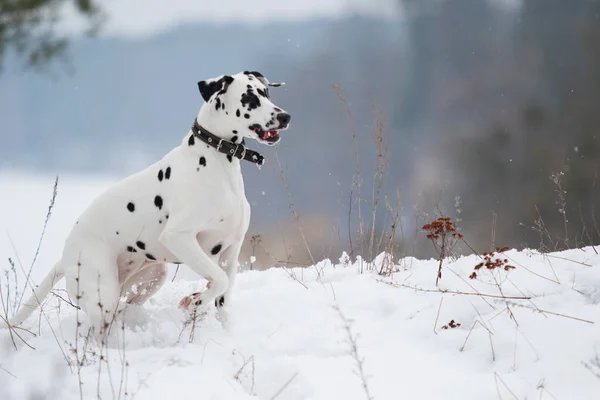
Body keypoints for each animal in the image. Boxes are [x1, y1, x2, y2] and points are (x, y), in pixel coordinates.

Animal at [0, 70, 290, 340]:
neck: (216, 161)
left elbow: (223, 295)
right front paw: (194, 299)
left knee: (126, 309)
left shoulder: (231, 249)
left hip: (151, 278)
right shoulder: (180, 237)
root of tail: (66, 253)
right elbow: (217, 280)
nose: (285, 117)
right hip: (102, 294)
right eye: (249, 99)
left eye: (267, 93)